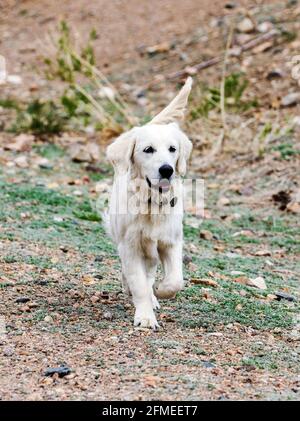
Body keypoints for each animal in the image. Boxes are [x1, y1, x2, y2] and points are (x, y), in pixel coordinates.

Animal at [106, 78, 193, 328]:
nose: (167, 169)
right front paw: (145, 317)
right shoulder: (131, 246)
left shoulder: (171, 241)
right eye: (148, 150)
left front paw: (161, 291)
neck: (152, 204)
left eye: (173, 149)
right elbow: (139, 284)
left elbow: (175, 280)